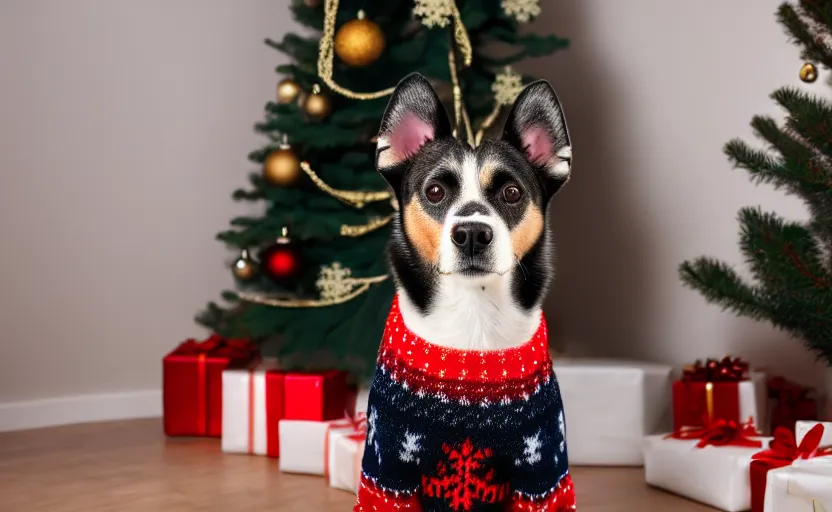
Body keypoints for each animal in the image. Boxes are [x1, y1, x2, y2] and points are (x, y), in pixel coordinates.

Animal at [354, 74, 576, 512]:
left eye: (511, 193)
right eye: (435, 191)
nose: (472, 233)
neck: (474, 312)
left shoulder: (544, 476)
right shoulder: (386, 476)